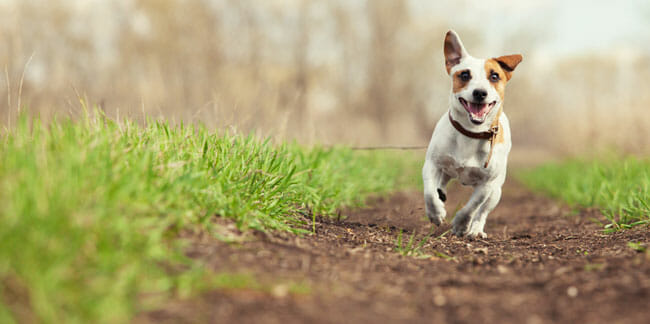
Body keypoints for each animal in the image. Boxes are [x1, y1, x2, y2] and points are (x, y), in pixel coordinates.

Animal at [420, 30, 520, 238]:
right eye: (465, 74)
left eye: (495, 76)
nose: (480, 93)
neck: (471, 133)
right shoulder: (432, 164)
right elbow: (429, 193)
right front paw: (436, 213)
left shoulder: (487, 184)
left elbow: (472, 207)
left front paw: (461, 225)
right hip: (446, 171)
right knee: (440, 185)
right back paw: (441, 195)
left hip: (496, 192)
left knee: (482, 212)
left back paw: (476, 230)